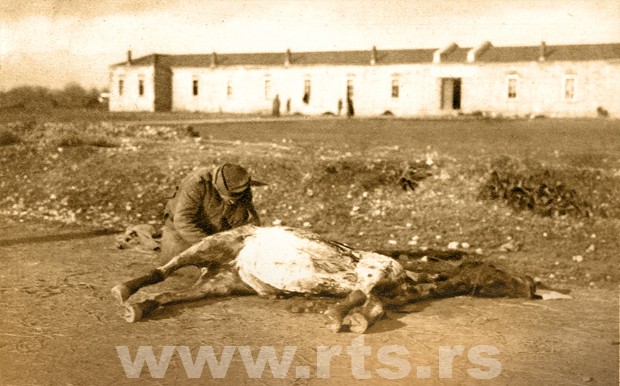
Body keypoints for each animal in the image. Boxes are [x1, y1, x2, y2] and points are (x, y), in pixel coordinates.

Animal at [111, 225, 536, 334]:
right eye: (497, 271)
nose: (532, 285)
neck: (411, 278)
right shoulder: (373, 272)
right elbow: (359, 298)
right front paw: (335, 317)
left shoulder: (382, 292)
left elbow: (374, 308)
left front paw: (354, 320)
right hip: (213, 244)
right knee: (163, 271)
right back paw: (124, 289)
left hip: (223, 283)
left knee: (170, 296)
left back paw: (139, 307)